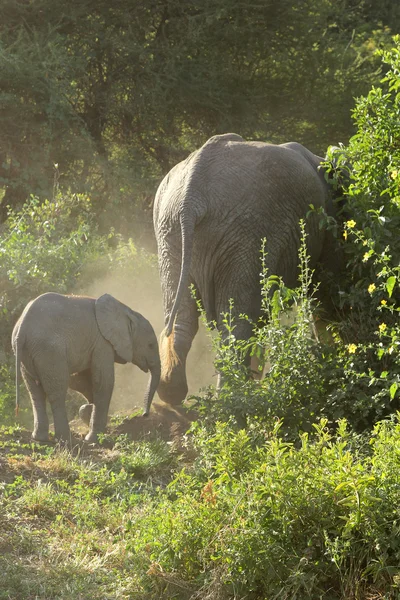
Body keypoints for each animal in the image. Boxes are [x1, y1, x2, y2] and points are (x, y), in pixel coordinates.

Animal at [12, 292, 161, 442]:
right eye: (151, 345)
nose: (145, 414)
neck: (127, 311)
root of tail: (22, 327)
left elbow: (79, 380)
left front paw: (88, 409)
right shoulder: (102, 342)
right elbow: (103, 381)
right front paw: (93, 439)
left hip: (28, 353)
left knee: (35, 391)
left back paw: (40, 438)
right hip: (49, 350)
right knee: (57, 391)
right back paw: (65, 439)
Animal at [153, 134, 340, 406]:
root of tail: (191, 197)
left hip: (171, 233)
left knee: (183, 317)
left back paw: (172, 392)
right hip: (246, 232)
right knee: (238, 322)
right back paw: (234, 398)